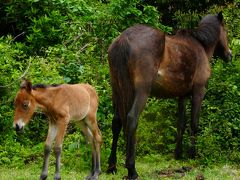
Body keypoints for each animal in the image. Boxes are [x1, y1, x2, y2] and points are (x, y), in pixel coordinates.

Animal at [108, 11, 232, 179]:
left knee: (116, 122)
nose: (229, 54)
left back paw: (111, 167)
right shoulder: (198, 92)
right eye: (225, 30)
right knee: (132, 119)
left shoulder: (182, 96)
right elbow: (194, 123)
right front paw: (193, 155)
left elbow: (181, 123)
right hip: (141, 92)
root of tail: (124, 38)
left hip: (117, 91)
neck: (200, 46)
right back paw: (132, 169)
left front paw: (177, 154)